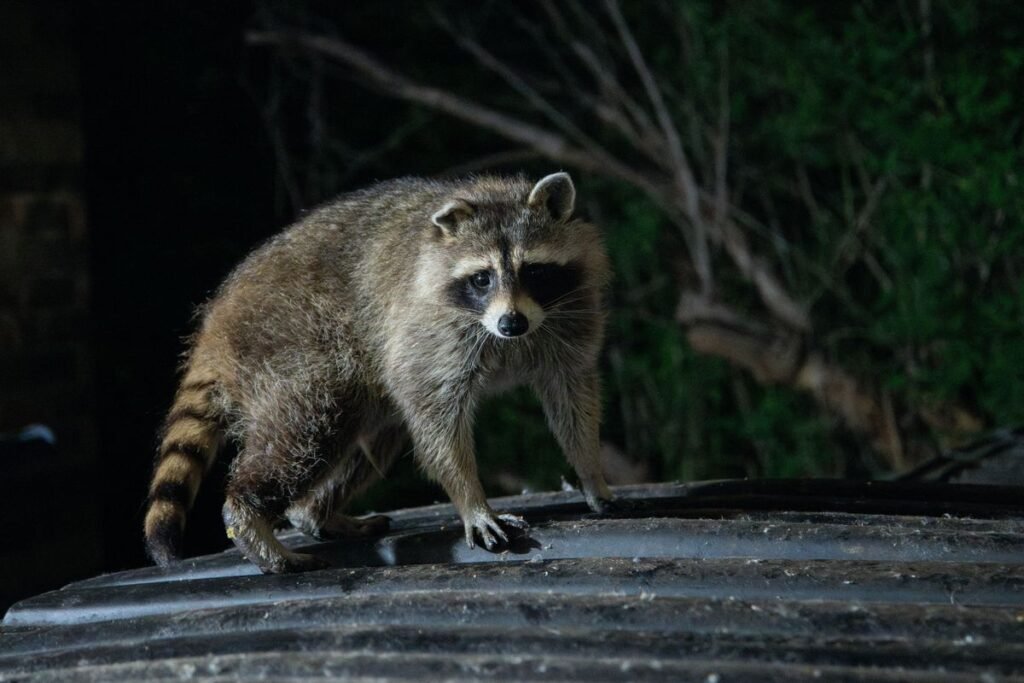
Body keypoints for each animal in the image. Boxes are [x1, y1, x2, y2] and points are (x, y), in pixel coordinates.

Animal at [143, 172, 615, 573]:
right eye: (482, 279)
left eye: (533, 270)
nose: (511, 323)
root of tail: (215, 325)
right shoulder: (426, 329)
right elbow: (436, 416)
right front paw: (471, 500)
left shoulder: (570, 316)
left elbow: (572, 397)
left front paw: (591, 471)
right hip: (290, 344)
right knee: (306, 430)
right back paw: (249, 518)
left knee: (370, 434)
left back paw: (315, 513)